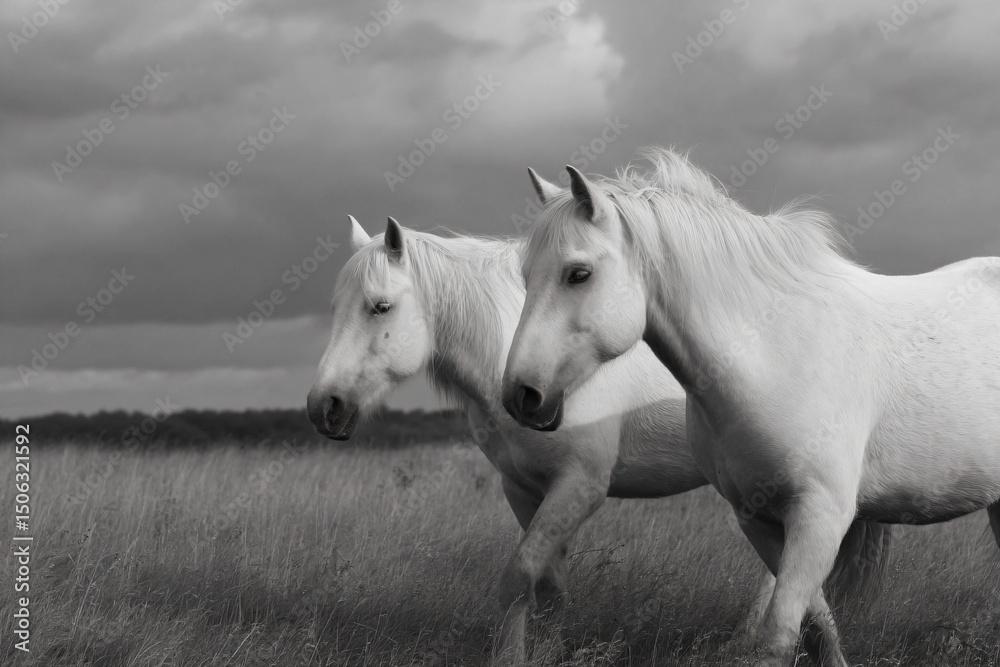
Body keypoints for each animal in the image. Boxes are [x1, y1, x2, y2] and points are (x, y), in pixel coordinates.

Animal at [306, 213, 892, 664]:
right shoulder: (524, 489)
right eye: (335, 308)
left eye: (380, 306)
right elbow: (548, 586)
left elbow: (519, 576)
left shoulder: (580, 486)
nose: (323, 408)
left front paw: (510, 658)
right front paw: (548, 652)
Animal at [501, 146, 1000, 666]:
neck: (775, 354)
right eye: (525, 276)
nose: (522, 395)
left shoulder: (820, 517)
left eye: (578, 274)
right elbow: (817, 624)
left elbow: (778, 635)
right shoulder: (758, 519)